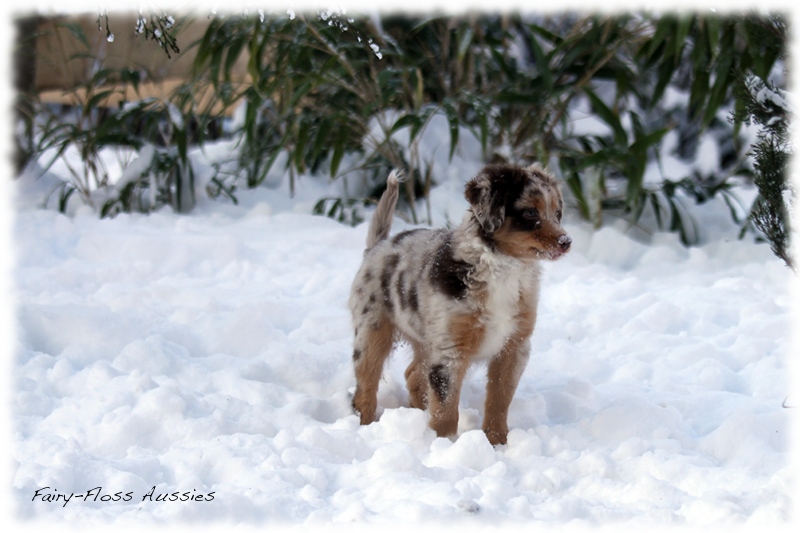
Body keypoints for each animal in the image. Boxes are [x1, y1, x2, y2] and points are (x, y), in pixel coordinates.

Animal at [348, 163, 568, 444]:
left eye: (557, 213)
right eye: (530, 212)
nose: (566, 242)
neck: (504, 269)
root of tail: (377, 247)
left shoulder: (514, 346)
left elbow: (499, 399)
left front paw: (497, 442)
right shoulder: (450, 351)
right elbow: (446, 409)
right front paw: (444, 444)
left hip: (424, 340)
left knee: (413, 376)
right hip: (372, 331)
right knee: (365, 387)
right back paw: (364, 427)